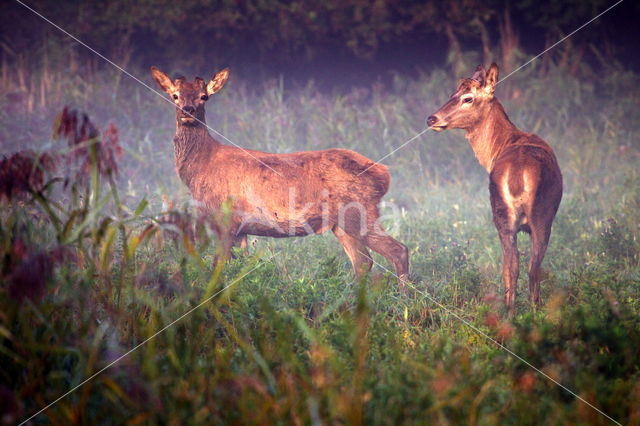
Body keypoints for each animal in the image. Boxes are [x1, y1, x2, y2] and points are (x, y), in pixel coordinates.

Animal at [151, 65, 410, 286]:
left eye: (204, 96)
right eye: (175, 95)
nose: (188, 111)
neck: (199, 167)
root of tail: (383, 174)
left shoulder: (225, 219)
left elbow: (218, 267)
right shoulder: (241, 228)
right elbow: (238, 270)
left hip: (358, 211)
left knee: (398, 251)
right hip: (341, 223)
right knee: (363, 262)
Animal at [428, 62, 564, 310]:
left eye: (467, 98)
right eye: (453, 94)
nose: (432, 119)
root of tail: (517, 176)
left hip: (505, 215)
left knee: (513, 267)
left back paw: (511, 311)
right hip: (540, 216)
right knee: (530, 267)